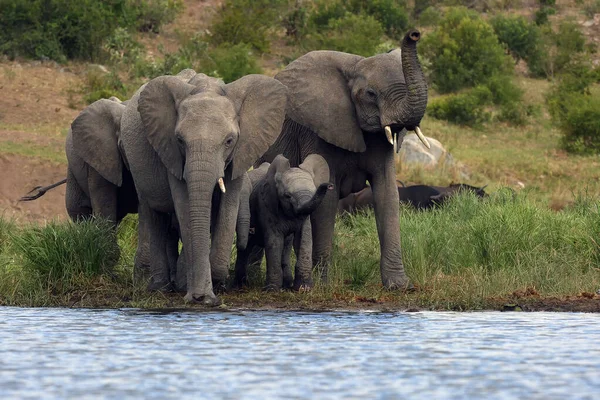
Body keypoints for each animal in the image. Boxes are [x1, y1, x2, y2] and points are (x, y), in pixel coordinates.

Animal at [119, 72, 288, 304]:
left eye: (229, 141)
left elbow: (227, 206)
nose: (200, 297)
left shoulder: (241, 151)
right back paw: (161, 288)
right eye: (180, 140)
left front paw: (212, 290)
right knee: (154, 214)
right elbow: (184, 206)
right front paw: (198, 296)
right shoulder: (171, 152)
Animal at [234, 154, 332, 290]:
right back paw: (240, 285)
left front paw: (304, 289)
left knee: (286, 247)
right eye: (287, 196)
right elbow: (275, 241)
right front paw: (272, 290)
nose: (330, 185)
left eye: (314, 192)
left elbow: (304, 238)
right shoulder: (266, 205)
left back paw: (286, 285)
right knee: (246, 248)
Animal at [260, 29, 428, 290]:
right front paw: (321, 285)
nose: (414, 33)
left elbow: (387, 193)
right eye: (371, 94)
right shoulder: (318, 129)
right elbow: (326, 200)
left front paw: (399, 287)